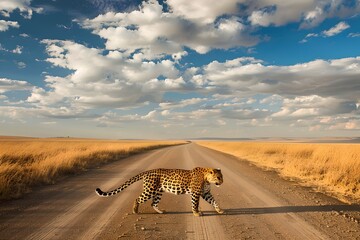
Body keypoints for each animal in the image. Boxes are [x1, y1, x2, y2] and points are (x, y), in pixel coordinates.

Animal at [95, 168, 225, 217]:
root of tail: (148, 171)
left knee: (153, 203)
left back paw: (161, 211)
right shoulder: (196, 193)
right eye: (218, 177)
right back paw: (135, 211)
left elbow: (214, 201)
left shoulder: (205, 193)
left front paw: (219, 210)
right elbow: (195, 204)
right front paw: (196, 213)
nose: (222, 182)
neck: (207, 179)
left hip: (158, 192)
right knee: (137, 199)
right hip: (149, 190)